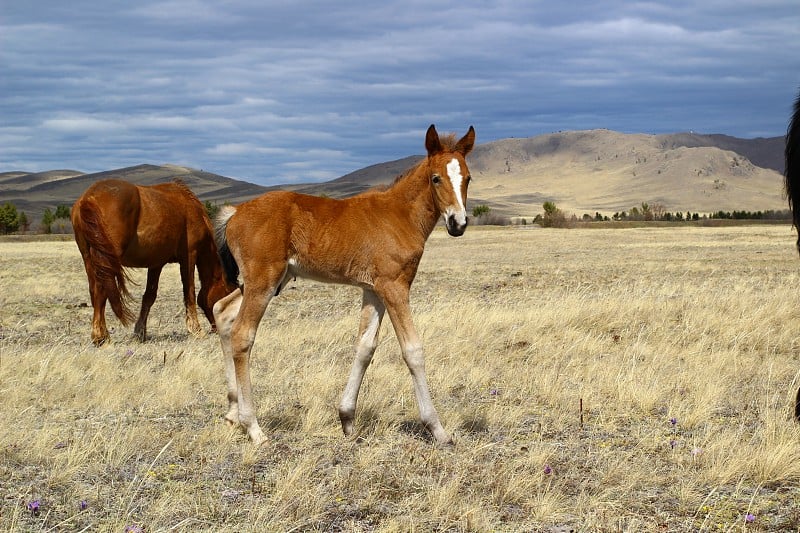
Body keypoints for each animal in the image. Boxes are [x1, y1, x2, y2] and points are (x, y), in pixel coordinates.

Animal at [72, 179, 233, 344]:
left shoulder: (156, 264)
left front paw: (140, 332)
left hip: (89, 258)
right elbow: (190, 293)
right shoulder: (189, 256)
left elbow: (149, 296)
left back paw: (101, 335)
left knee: (95, 291)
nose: (219, 329)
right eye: (228, 295)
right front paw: (196, 330)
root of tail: (89, 197)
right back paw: (100, 337)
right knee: (101, 290)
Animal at [212, 124, 476, 444]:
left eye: (468, 178)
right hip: (263, 281)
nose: (458, 224)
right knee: (242, 334)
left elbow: (365, 346)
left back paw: (231, 414)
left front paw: (347, 418)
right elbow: (413, 350)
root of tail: (235, 213)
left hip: (267, 281)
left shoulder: (373, 290)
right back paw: (253, 427)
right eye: (436, 178)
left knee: (223, 312)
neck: (400, 216)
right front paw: (437, 428)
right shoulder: (395, 286)